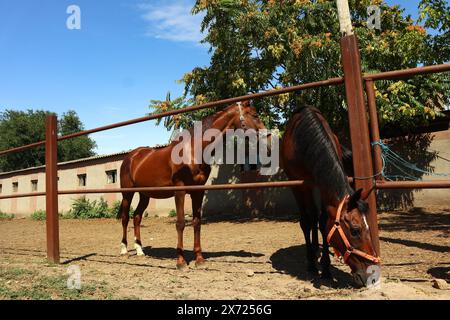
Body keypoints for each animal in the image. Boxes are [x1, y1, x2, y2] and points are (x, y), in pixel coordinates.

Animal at [118, 101, 268, 268]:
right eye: (255, 115)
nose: (267, 135)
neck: (193, 151)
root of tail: (131, 156)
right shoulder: (180, 191)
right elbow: (180, 223)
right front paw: (181, 261)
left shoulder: (198, 192)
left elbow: (197, 222)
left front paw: (199, 259)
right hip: (127, 193)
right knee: (125, 217)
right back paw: (124, 250)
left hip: (145, 195)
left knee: (137, 217)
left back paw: (139, 250)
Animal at [282, 105, 380, 288]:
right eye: (355, 230)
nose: (373, 275)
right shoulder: (298, 185)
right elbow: (306, 222)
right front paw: (312, 265)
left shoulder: (322, 185)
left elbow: (322, 223)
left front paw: (326, 269)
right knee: (310, 219)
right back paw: (312, 256)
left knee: (315, 218)